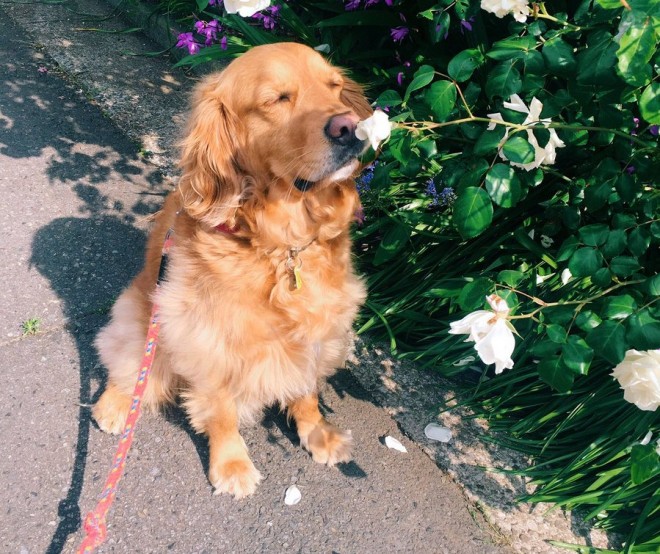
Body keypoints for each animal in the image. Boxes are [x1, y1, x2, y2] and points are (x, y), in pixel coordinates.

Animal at [93, 42, 374, 496]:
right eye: (277, 99)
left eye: (334, 87)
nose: (351, 127)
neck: (281, 246)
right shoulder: (207, 336)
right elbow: (222, 410)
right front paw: (231, 463)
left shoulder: (321, 325)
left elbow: (308, 391)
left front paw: (316, 433)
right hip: (140, 318)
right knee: (129, 367)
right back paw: (115, 405)